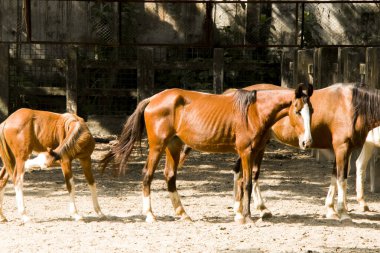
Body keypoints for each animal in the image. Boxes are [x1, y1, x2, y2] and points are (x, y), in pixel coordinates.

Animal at [102, 85, 314, 223]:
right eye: (297, 111)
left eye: (311, 110)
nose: (307, 142)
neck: (253, 112)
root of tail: (153, 99)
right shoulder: (246, 152)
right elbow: (247, 182)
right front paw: (247, 217)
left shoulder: (254, 151)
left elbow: (245, 180)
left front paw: (242, 214)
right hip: (157, 146)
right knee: (147, 175)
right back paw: (150, 215)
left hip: (173, 145)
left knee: (170, 176)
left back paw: (183, 214)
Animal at [181, 82, 380, 219]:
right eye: (298, 112)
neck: (351, 106)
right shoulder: (341, 148)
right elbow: (341, 179)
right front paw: (342, 212)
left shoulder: (343, 148)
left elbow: (335, 177)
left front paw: (331, 209)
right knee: (250, 174)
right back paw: (258, 209)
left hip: (258, 146)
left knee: (242, 172)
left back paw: (243, 208)